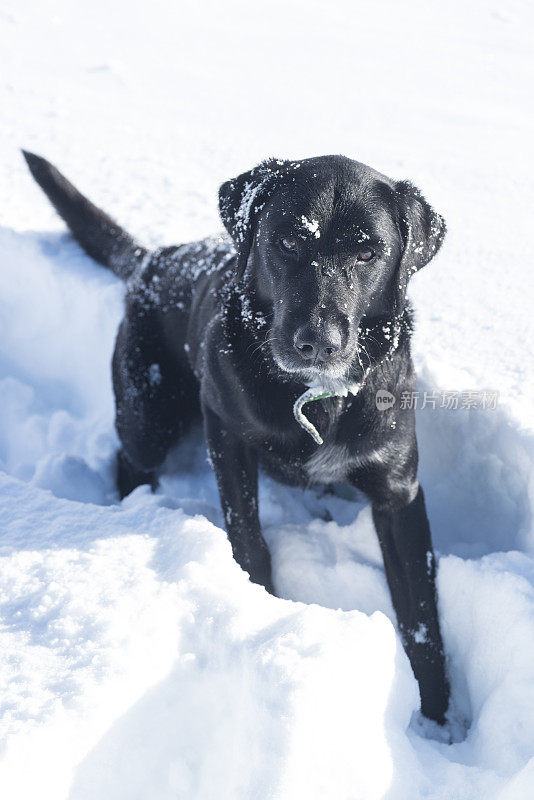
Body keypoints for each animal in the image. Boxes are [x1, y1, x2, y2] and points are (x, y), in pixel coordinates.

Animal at [24, 152, 452, 724]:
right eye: (288, 241)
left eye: (367, 252)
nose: (317, 341)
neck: (315, 395)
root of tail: (155, 257)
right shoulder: (225, 432)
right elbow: (248, 537)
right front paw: (259, 608)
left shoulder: (398, 491)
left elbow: (421, 614)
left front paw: (440, 714)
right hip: (148, 414)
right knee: (129, 457)